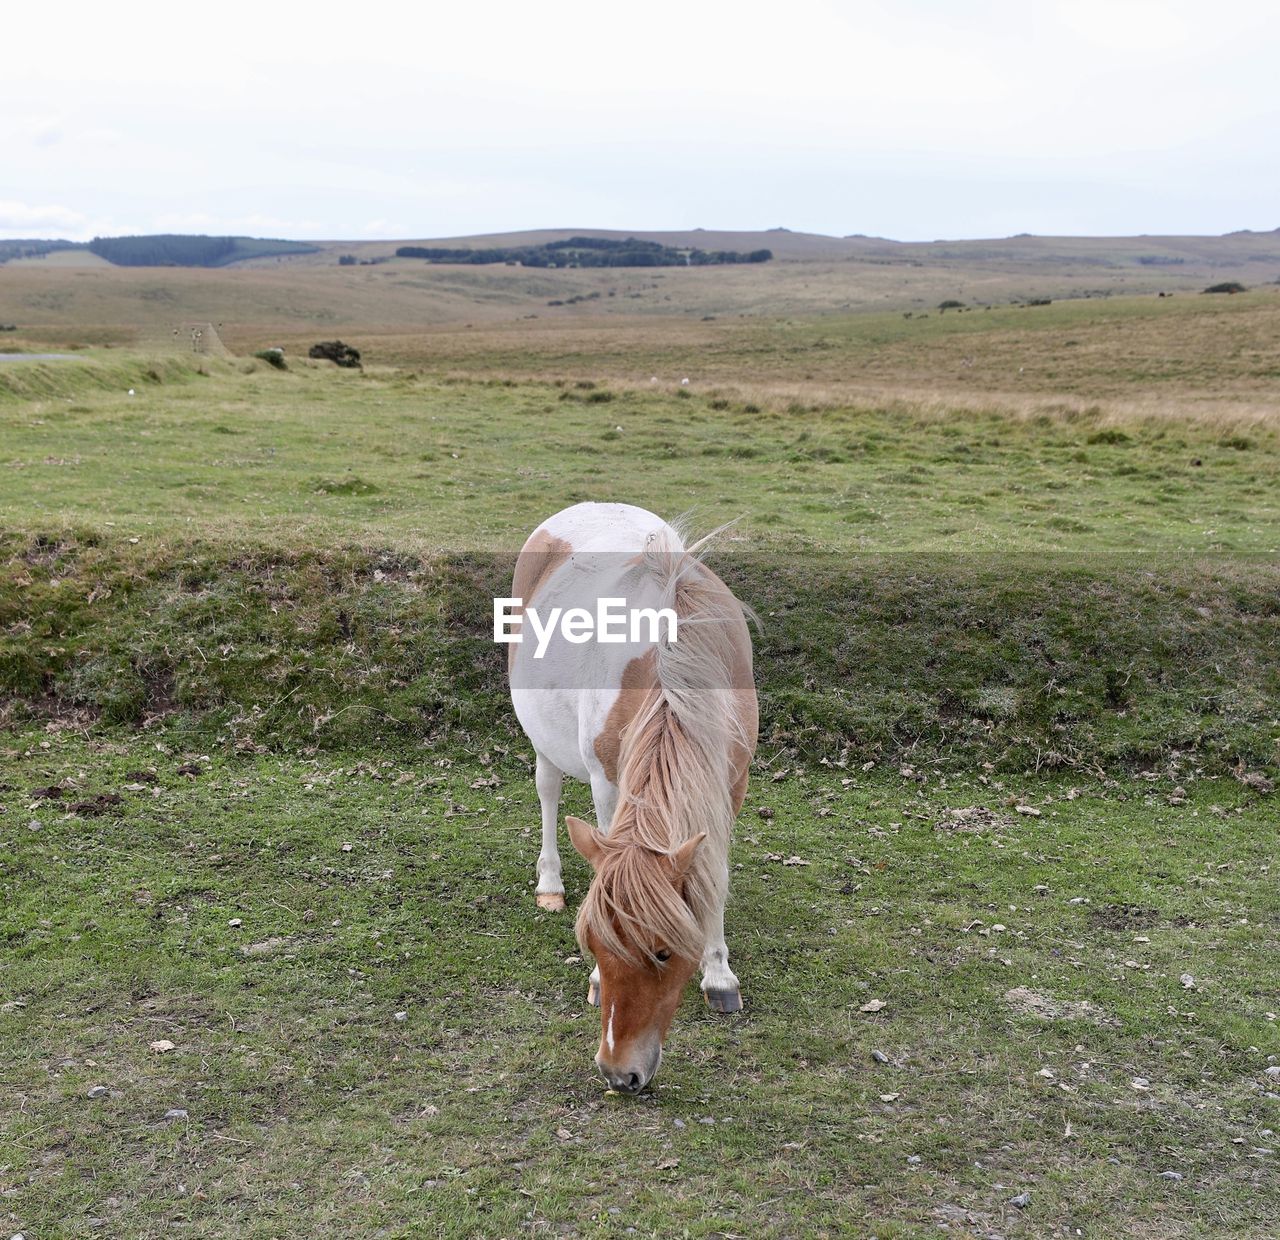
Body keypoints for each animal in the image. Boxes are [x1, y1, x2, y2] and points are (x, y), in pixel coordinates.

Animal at [504, 499, 752, 1090]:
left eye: (662, 952)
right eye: (592, 943)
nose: (618, 1074)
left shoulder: (729, 784)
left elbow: (713, 873)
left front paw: (719, 974)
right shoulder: (607, 781)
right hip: (542, 737)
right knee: (547, 790)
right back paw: (549, 883)